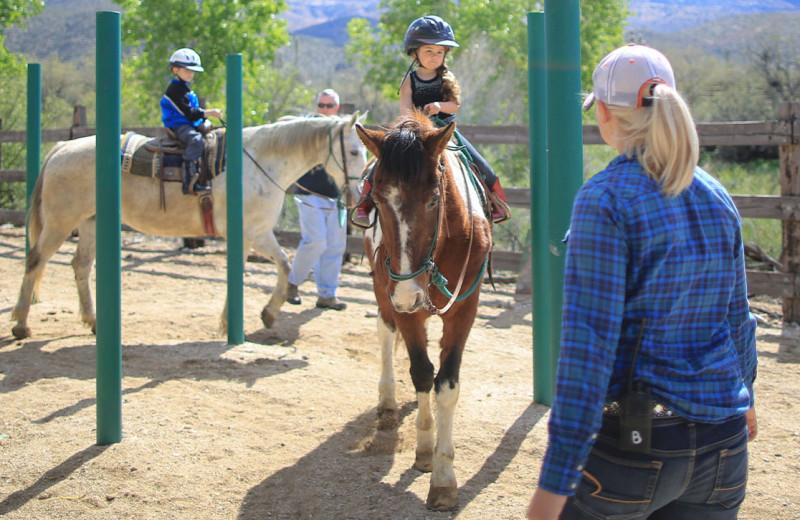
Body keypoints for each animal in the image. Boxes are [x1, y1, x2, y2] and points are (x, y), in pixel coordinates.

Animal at [12, 113, 368, 340]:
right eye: (353, 150)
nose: (356, 193)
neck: (260, 162)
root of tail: (61, 148)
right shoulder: (245, 235)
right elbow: (246, 272)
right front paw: (230, 324)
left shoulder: (260, 233)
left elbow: (284, 265)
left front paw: (268, 314)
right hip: (60, 223)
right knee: (35, 260)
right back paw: (21, 325)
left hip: (90, 222)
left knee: (81, 265)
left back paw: (94, 322)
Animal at [358, 112, 494, 508]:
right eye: (378, 199)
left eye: (434, 201)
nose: (408, 292)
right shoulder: (405, 307)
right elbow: (421, 373)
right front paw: (424, 450)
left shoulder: (465, 310)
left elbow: (445, 384)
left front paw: (444, 478)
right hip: (383, 290)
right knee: (385, 332)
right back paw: (388, 402)